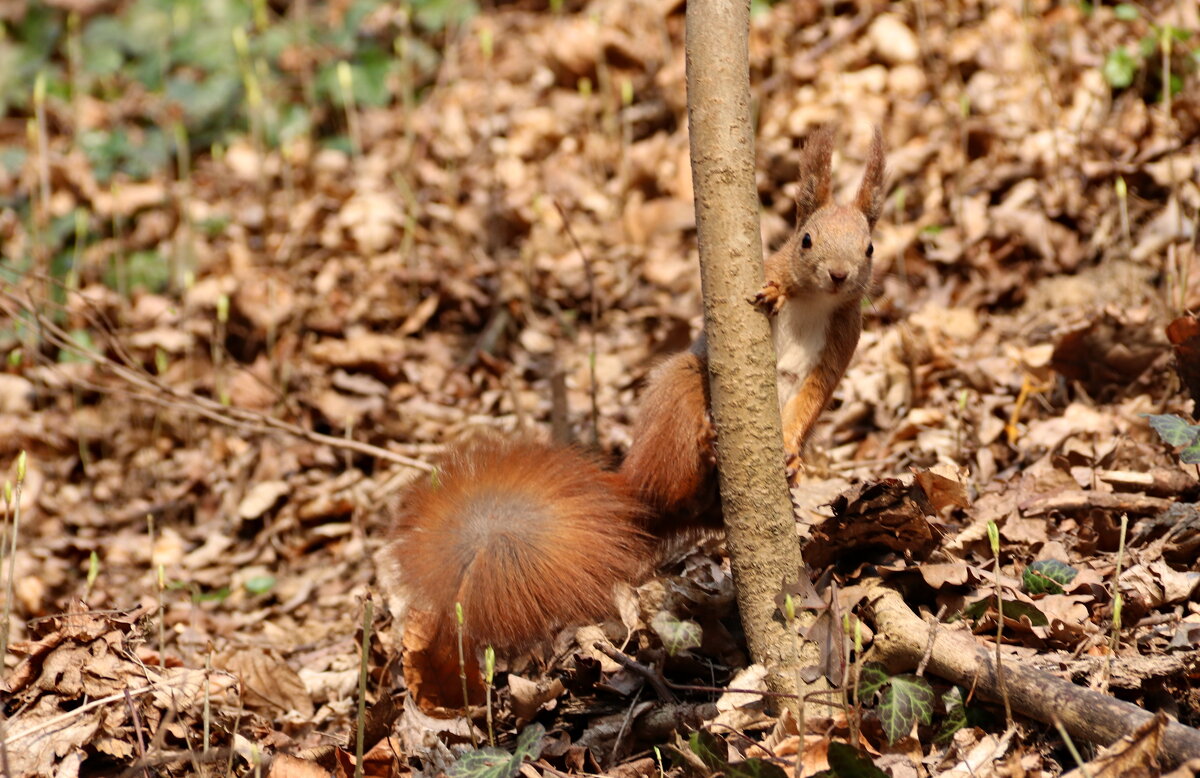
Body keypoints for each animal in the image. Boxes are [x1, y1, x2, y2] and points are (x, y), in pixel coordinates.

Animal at [379, 123, 888, 701]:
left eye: (870, 247)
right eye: (805, 240)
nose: (840, 274)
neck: (817, 306)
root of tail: (635, 488)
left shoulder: (842, 342)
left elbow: (811, 400)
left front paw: (790, 451)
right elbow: (775, 285)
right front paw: (775, 290)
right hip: (679, 388)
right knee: (677, 468)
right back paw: (706, 446)